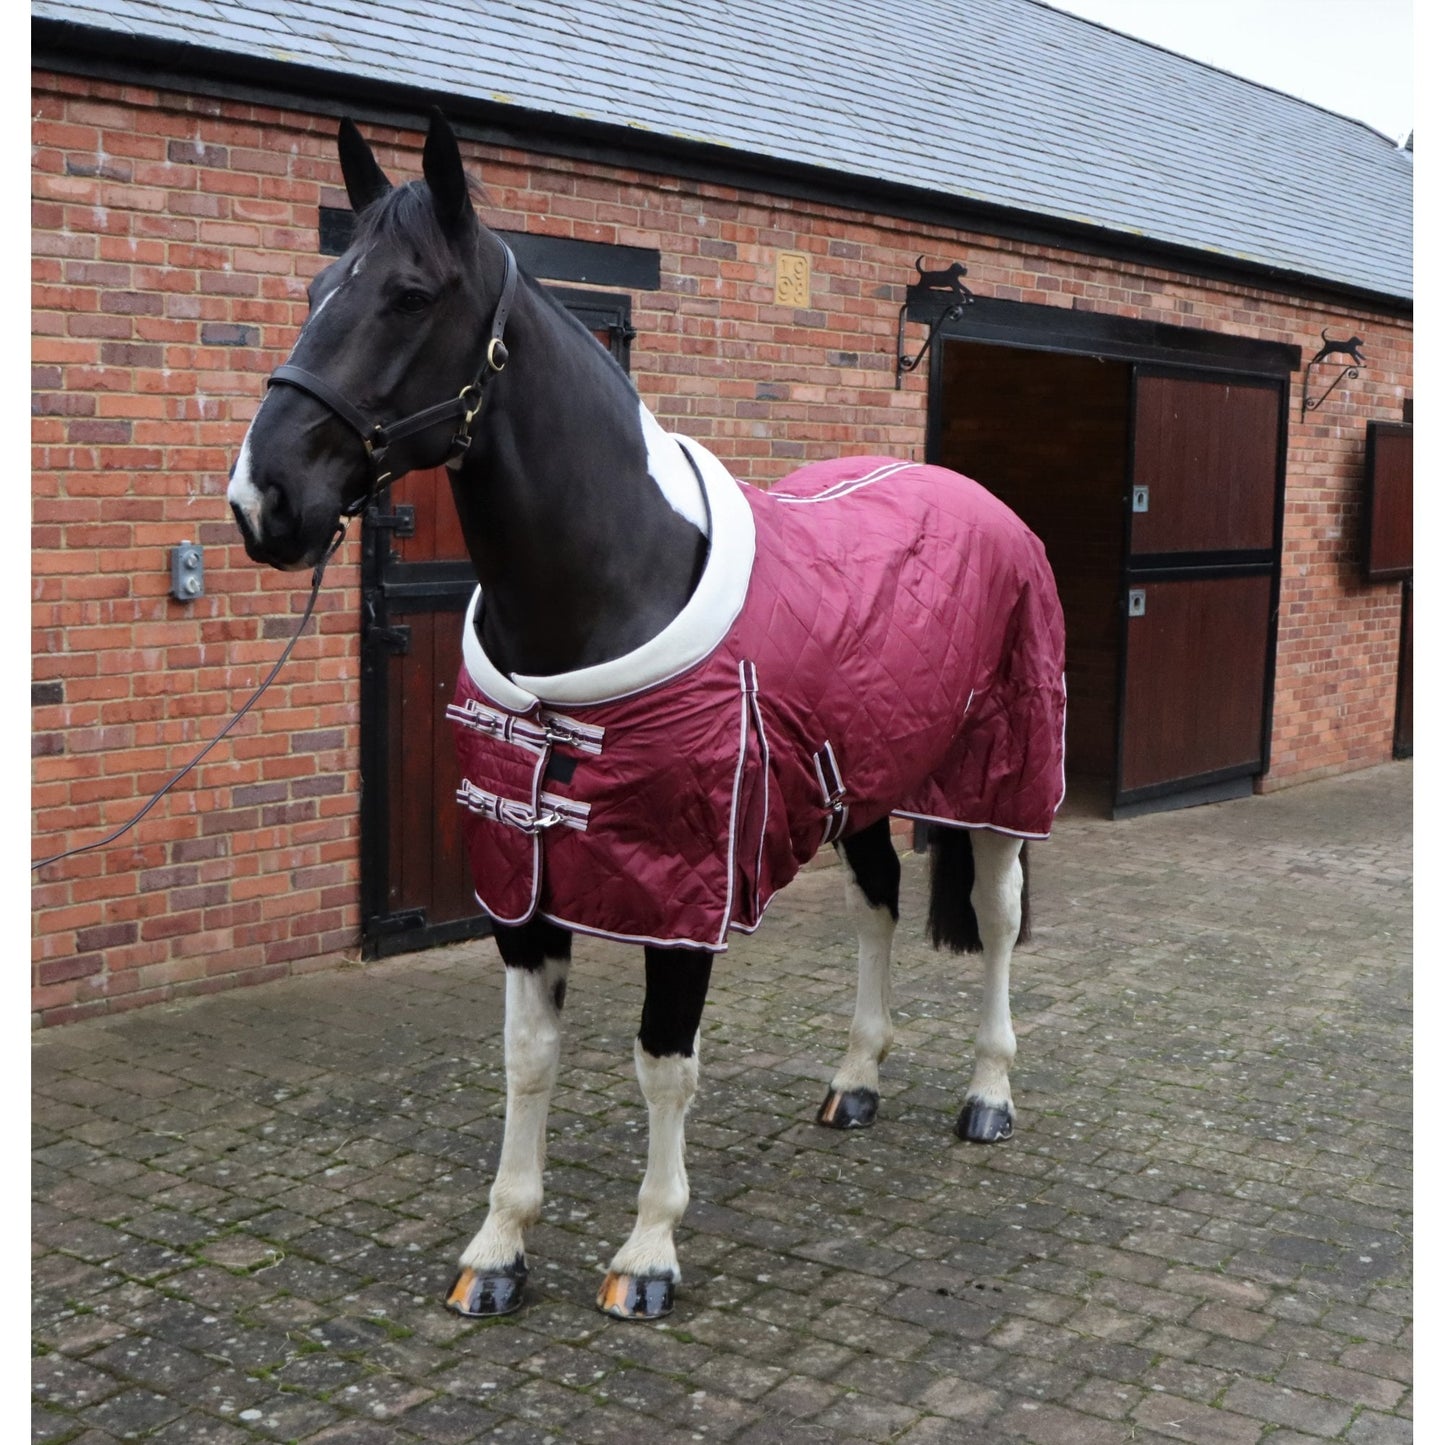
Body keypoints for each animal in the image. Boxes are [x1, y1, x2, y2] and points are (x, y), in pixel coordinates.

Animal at [228, 110, 1067, 1322]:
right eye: (313, 287)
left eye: (409, 293)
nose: (262, 501)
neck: (609, 590)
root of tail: (975, 500)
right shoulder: (522, 884)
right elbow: (527, 1057)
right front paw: (498, 1247)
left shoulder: (682, 892)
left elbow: (663, 1059)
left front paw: (646, 1252)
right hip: (858, 786)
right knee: (877, 904)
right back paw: (855, 1080)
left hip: (1000, 780)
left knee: (996, 919)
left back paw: (987, 1096)